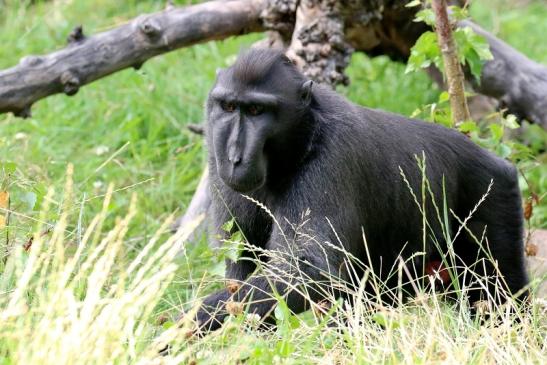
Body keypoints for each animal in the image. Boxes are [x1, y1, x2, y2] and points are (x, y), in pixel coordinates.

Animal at [196, 48, 528, 330]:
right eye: (229, 106)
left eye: (256, 110)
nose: (234, 157)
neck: (303, 134)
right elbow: (241, 265)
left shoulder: (332, 154)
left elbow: (308, 270)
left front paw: (196, 321)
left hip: (493, 194)